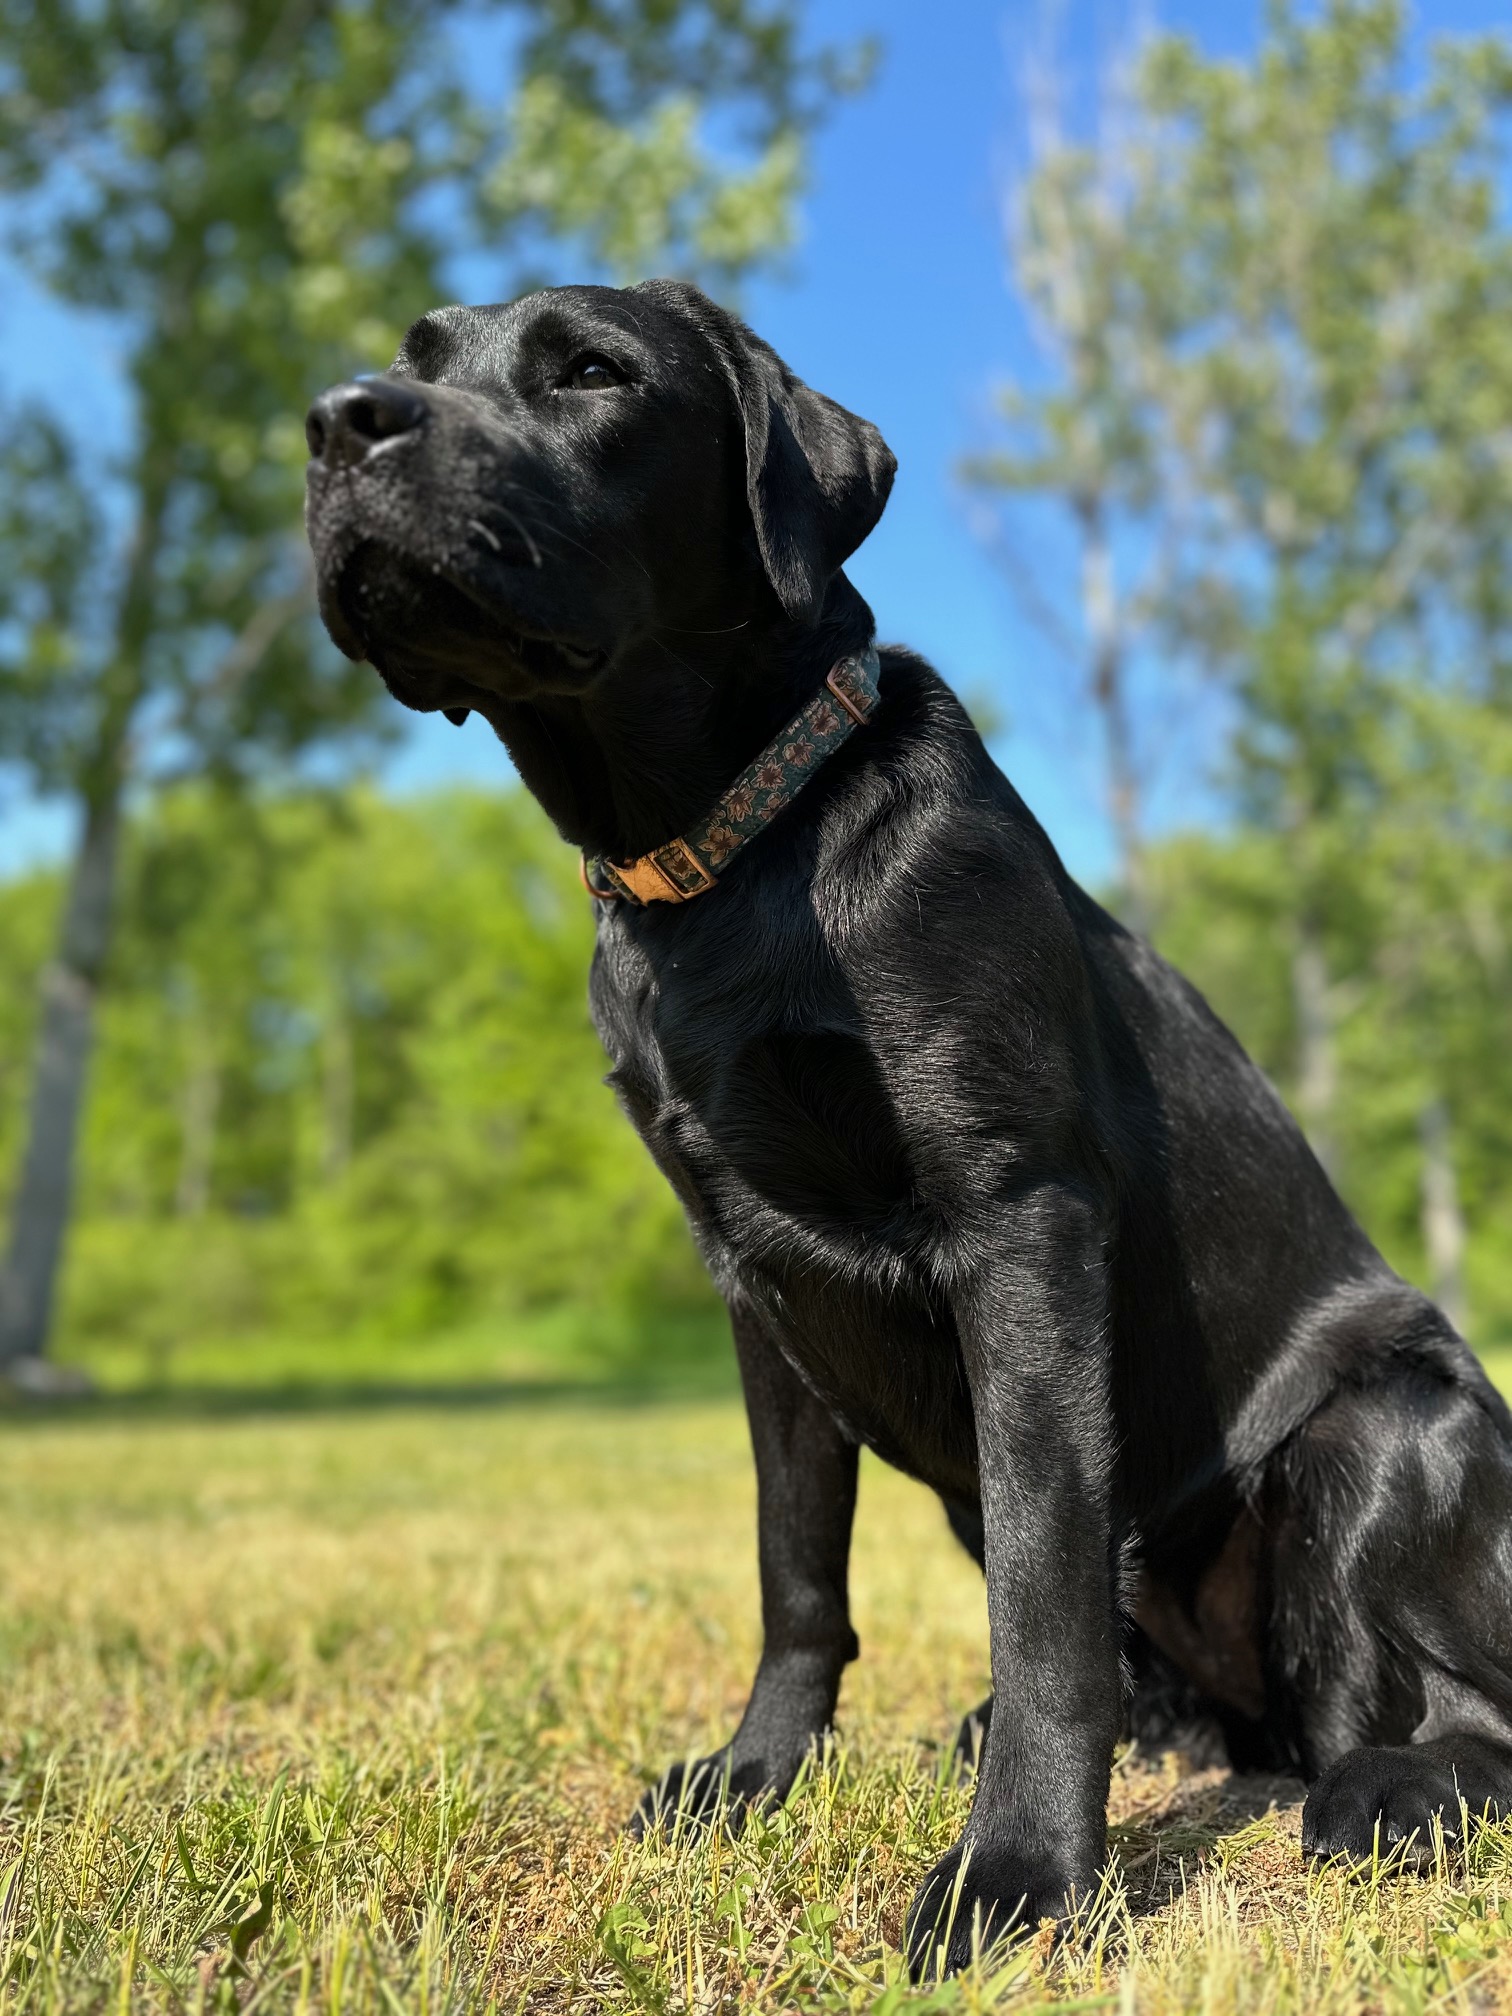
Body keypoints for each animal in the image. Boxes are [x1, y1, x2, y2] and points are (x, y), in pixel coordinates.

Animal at [304, 276, 1512, 1975]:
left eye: (592, 373)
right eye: (412, 361)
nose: (338, 423)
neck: (728, 860)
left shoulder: (1018, 1223)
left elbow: (1046, 1592)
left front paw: (1020, 1877)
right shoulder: (756, 1278)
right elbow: (795, 1570)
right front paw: (752, 1779)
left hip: (1389, 1431)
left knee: (1442, 1716)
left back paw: (1383, 1791)